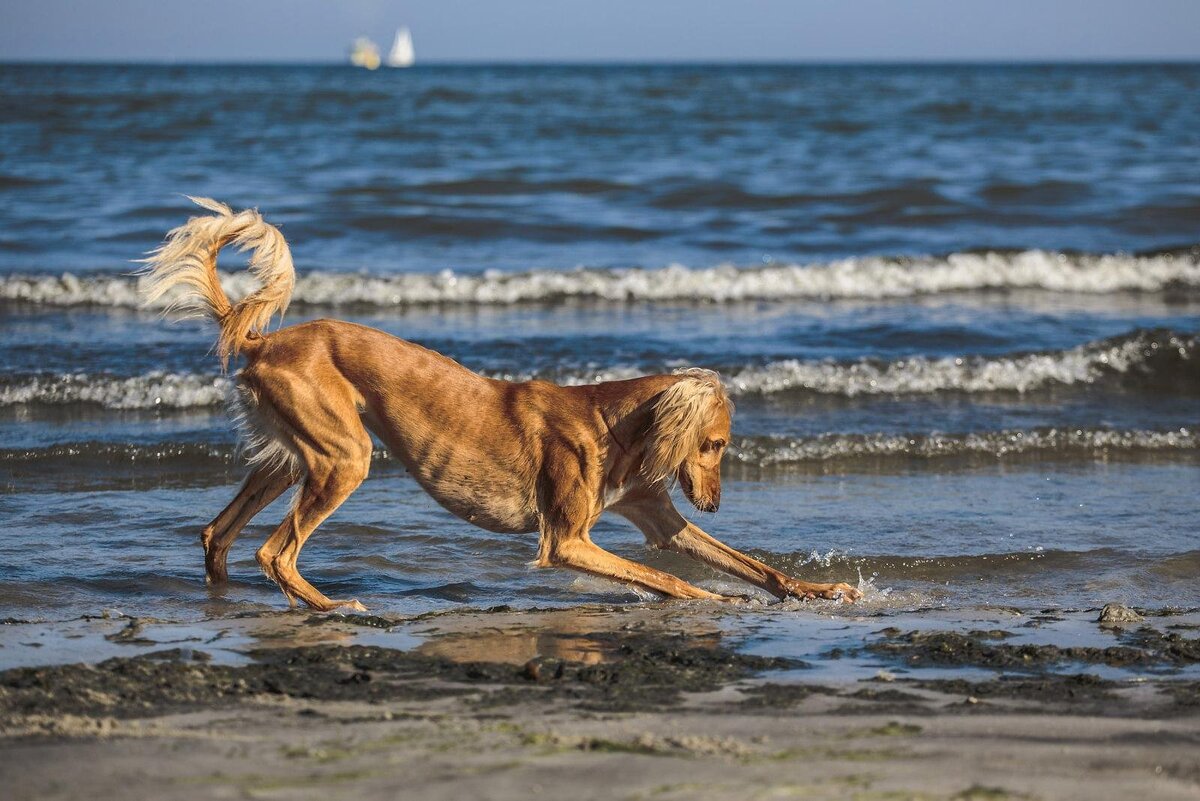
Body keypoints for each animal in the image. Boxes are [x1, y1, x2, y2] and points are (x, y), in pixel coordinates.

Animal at [140, 196, 864, 609]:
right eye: (714, 446)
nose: (714, 502)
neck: (612, 426)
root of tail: (263, 338)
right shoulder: (565, 540)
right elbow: (666, 578)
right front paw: (712, 603)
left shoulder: (658, 518)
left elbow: (751, 565)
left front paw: (818, 589)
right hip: (343, 456)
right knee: (275, 552)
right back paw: (332, 608)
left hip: (297, 454)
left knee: (217, 533)